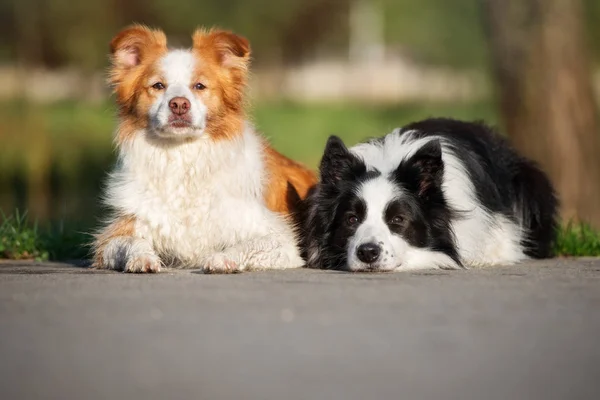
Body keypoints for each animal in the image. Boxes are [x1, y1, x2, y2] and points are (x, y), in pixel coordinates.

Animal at [94, 25, 316, 272]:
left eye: (199, 86)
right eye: (158, 86)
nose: (179, 104)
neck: (183, 155)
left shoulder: (280, 239)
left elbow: (247, 245)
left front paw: (222, 258)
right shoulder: (115, 235)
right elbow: (131, 242)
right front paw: (143, 258)